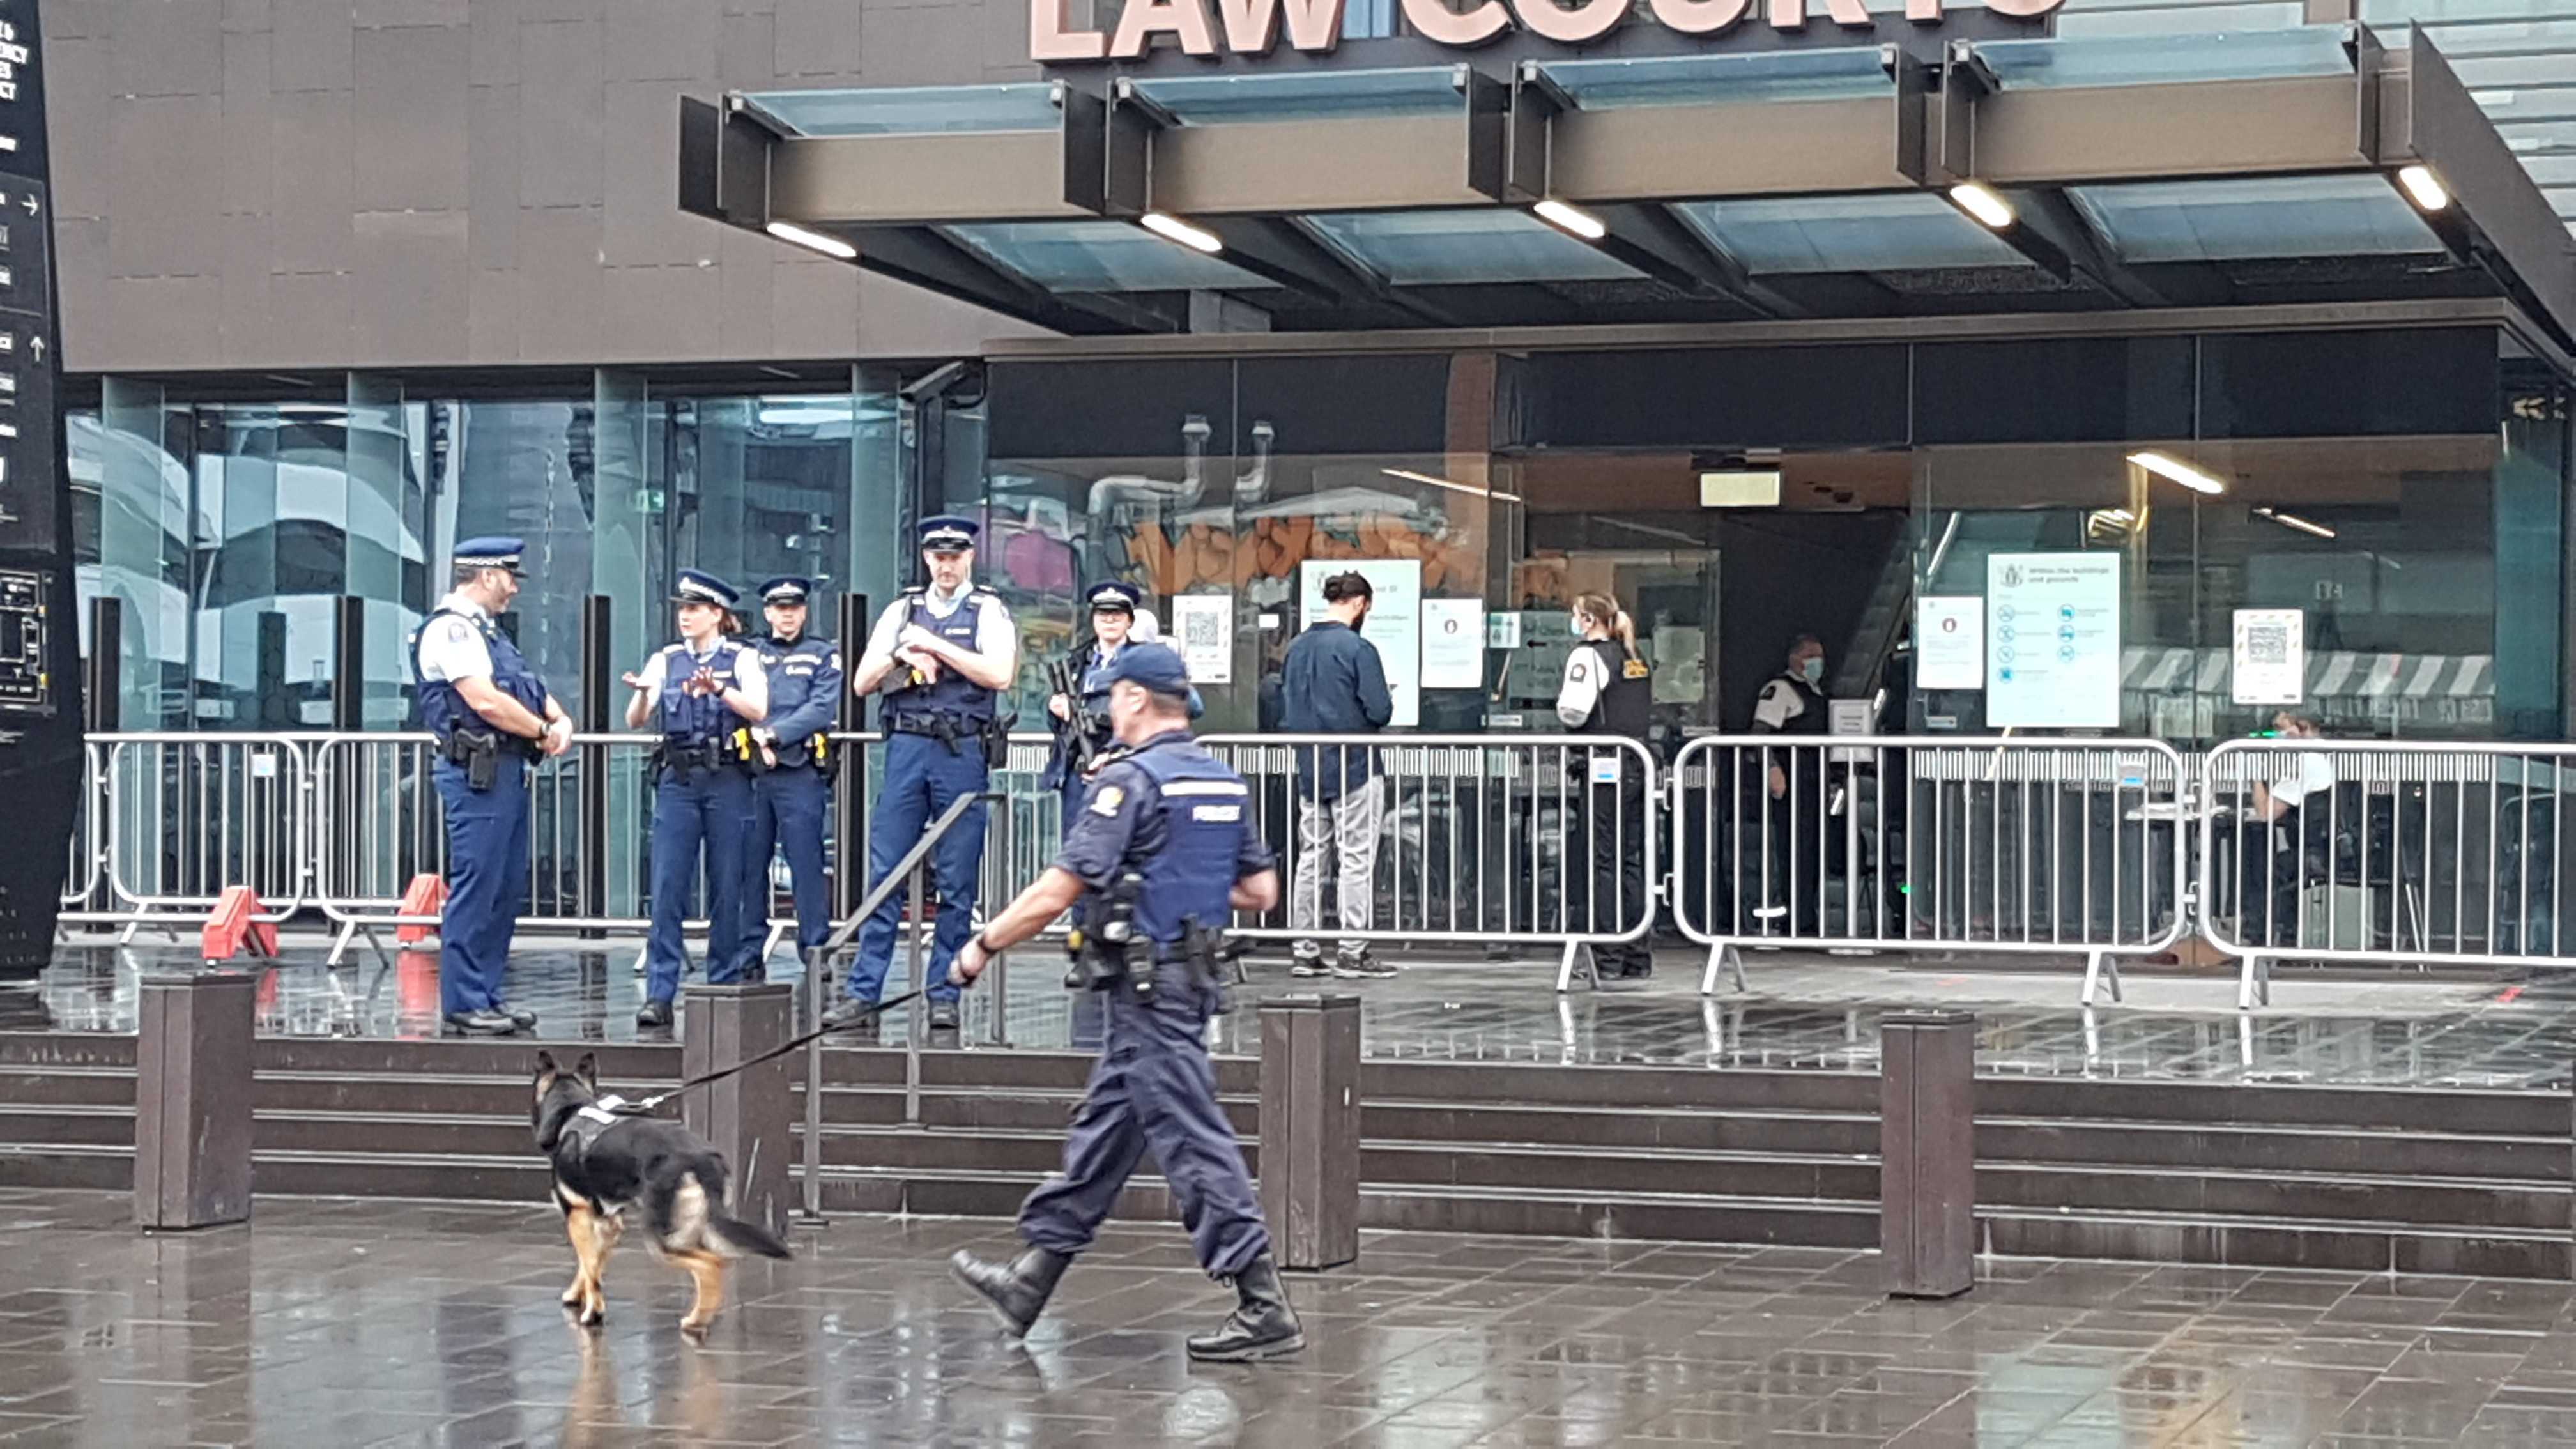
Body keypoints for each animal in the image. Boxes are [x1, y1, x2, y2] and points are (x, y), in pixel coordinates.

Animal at [530, 1041, 783, 1330]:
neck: (571, 1109)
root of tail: (702, 1158)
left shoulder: (578, 1219)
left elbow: (590, 1266)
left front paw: (593, 1312)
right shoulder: (608, 1223)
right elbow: (592, 1265)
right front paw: (576, 1294)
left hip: (662, 1238)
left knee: (710, 1263)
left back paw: (696, 1319)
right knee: (715, 1262)